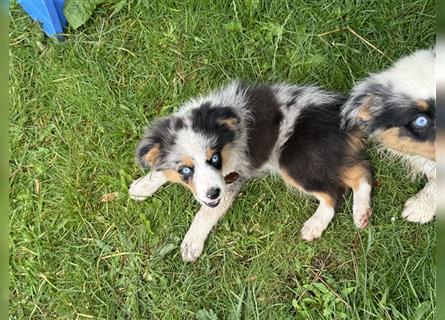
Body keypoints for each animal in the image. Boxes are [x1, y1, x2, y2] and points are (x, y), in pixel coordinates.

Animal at [131, 83, 372, 262]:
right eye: (185, 169)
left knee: (336, 190)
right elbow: (162, 170)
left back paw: (315, 225)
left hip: (295, 162)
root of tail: (342, 112)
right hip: (323, 158)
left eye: (214, 158)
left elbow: (206, 213)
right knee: (361, 170)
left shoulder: (231, 178)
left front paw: (191, 243)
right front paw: (142, 186)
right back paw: (361, 213)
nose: (212, 193)